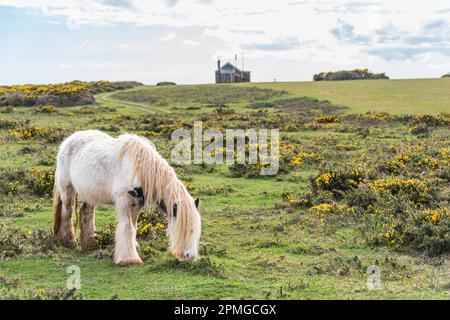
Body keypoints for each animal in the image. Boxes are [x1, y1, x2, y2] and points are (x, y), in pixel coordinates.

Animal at [51, 130, 201, 264]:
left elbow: (133, 227)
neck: (139, 169)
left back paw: (90, 243)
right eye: (186, 229)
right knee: (67, 212)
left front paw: (130, 248)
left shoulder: (137, 203)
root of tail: (67, 141)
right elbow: (128, 228)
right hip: (67, 190)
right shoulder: (124, 201)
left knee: (86, 212)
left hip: (91, 193)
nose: (191, 256)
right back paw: (69, 240)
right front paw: (129, 258)